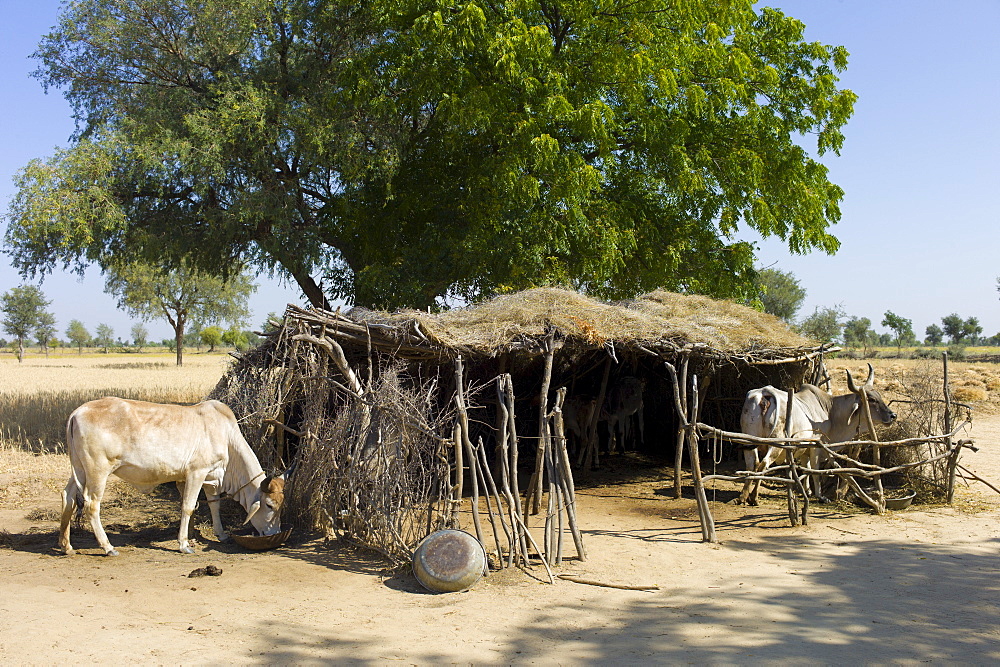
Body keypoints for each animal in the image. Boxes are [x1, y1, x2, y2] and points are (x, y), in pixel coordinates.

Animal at [59, 396, 286, 560]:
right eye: (269, 505)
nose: (274, 532)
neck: (226, 436)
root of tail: (77, 412)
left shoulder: (210, 478)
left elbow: (213, 505)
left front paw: (218, 534)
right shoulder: (196, 472)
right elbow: (188, 506)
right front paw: (184, 544)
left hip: (79, 469)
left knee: (68, 497)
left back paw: (66, 545)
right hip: (98, 470)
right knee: (91, 505)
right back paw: (108, 547)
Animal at [740, 366, 896, 506]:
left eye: (879, 396)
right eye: (871, 400)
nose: (893, 415)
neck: (829, 411)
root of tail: (765, 393)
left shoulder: (805, 448)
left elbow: (806, 467)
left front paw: (807, 491)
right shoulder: (816, 445)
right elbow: (815, 469)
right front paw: (820, 495)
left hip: (749, 440)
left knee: (752, 464)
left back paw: (743, 496)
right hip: (777, 443)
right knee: (763, 464)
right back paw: (754, 497)